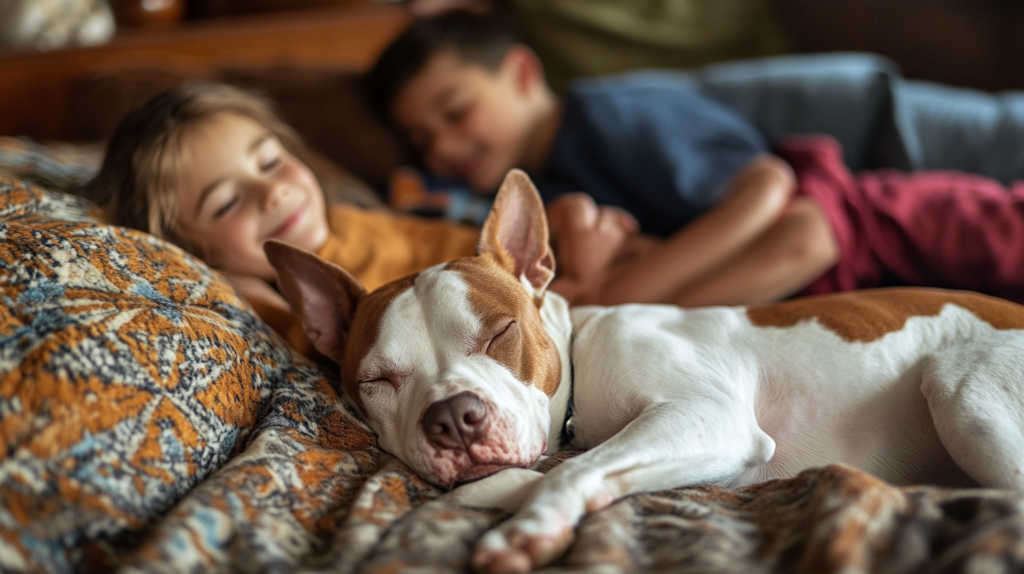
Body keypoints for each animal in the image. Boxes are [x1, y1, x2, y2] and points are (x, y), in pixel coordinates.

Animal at [266, 169, 1024, 572]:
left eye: (501, 332)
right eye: (377, 381)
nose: (454, 417)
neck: (582, 357)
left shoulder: (707, 417)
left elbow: (573, 469)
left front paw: (526, 527)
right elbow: (553, 471)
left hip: (962, 390)